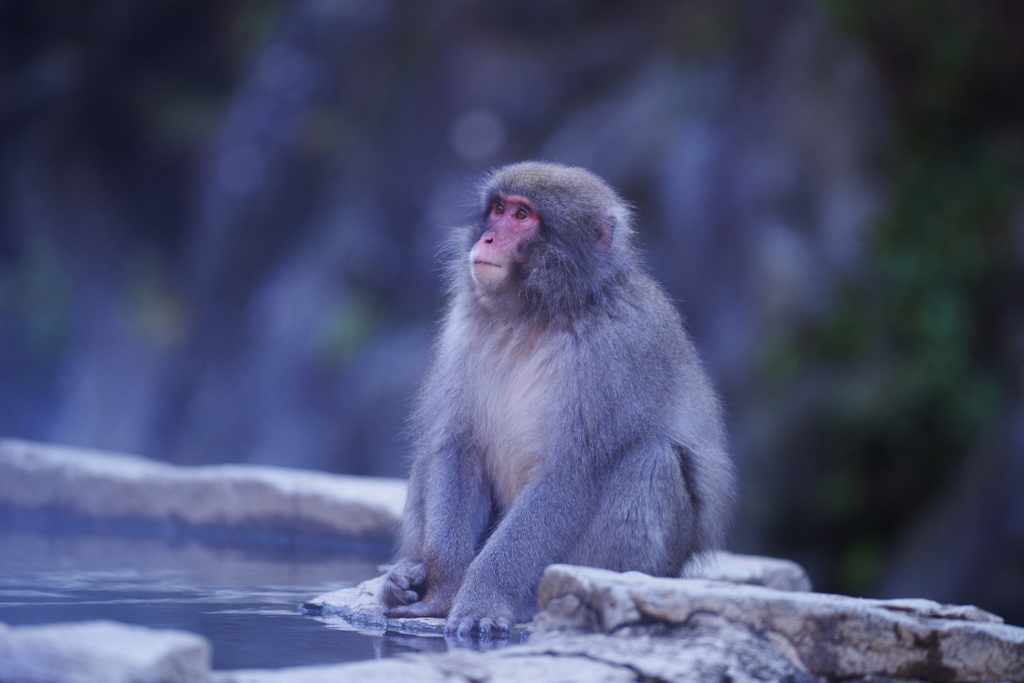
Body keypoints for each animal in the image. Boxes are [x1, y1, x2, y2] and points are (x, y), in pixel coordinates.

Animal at [380, 160, 733, 634]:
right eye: (498, 209)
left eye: (522, 216)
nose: (487, 239)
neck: (537, 314)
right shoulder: (463, 329)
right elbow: (456, 447)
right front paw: (442, 589)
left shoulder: (616, 349)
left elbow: (571, 474)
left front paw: (483, 597)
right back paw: (402, 579)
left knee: (650, 460)